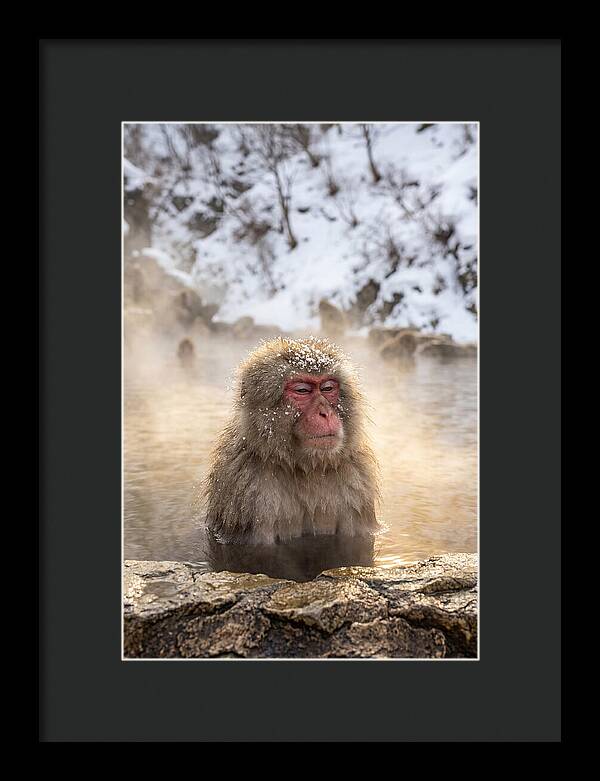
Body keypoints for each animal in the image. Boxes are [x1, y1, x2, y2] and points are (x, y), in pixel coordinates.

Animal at [205, 336, 380, 544]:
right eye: (302, 390)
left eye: (328, 388)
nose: (325, 413)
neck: (307, 468)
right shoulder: (247, 492)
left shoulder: (357, 484)